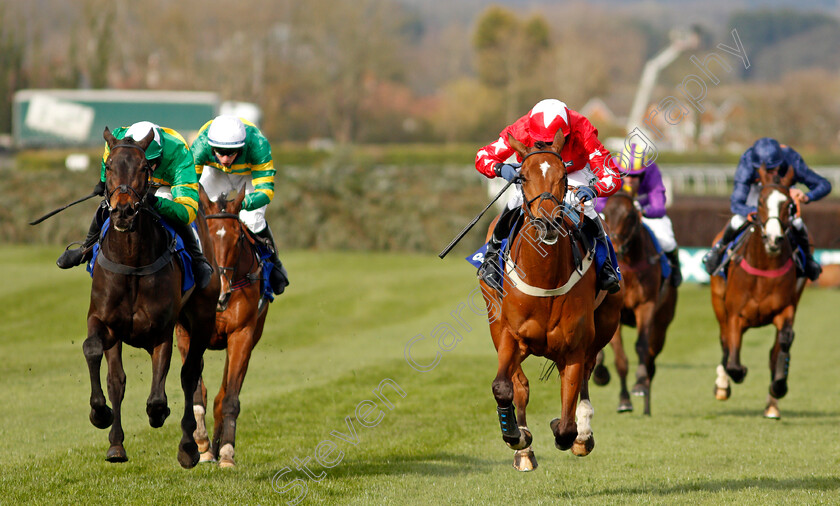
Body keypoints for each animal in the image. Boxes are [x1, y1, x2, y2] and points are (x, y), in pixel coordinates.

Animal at [81, 125, 218, 466]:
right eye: (109, 166)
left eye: (144, 168)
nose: (124, 210)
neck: (132, 263)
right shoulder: (104, 321)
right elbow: (99, 359)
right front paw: (101, 416)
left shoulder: (162, 331)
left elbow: (158, 395)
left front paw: (160, 414)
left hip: (202, 319)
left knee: (189, 375)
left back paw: (189, 447)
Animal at [177, 189, 270, 466]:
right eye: (205, 232)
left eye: (238, 238)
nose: (222, 293)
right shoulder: (186, 335)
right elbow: (197, 393)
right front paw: (200, 442)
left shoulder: (242, 335)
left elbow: (229, 399)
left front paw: (227, 451)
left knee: (222, 395)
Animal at [480, 130, 624, 470]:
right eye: (522, 176)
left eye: (563, 177)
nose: (547, 223)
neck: (544, 278)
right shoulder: (509, 335)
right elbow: (504, 387)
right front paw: (516, 436)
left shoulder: (574, 346)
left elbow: (566, 424)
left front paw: (571, 431)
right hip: (495, 323)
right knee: (520, 384)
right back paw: (523, 449)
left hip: (604, 325)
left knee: (586, 375)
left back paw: (583, 433)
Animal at [592, 191, 680, 416]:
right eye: (607, 213)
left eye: (631, 215)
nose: (615, 247)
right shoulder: (616, 313)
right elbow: (620, 359)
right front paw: (624, 399)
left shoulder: (646, 305)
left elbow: (641, 346)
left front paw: (639, 383)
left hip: (662, 322)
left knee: (651, 357)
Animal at [708, 166, 808, 420]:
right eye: (761, 201)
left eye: (789, 204)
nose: (773, 239)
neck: (764, 268)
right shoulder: (735, 315)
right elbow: (732, 359)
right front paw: (733, 375)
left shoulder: (786, 309)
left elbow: (783, 343)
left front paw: (779, 385)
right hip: (718, 303)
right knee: (724, 342)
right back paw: (722, 385)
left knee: (775, 350)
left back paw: (772, 404)